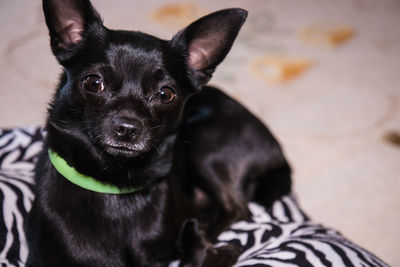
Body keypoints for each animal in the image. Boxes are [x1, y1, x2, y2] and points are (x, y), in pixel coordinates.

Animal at [26, 1, 290, 266]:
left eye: (165, 94)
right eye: (94, 83)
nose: (128, 128)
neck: (114, 187)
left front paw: (209, 246)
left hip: (206, 147)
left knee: (237, 208)